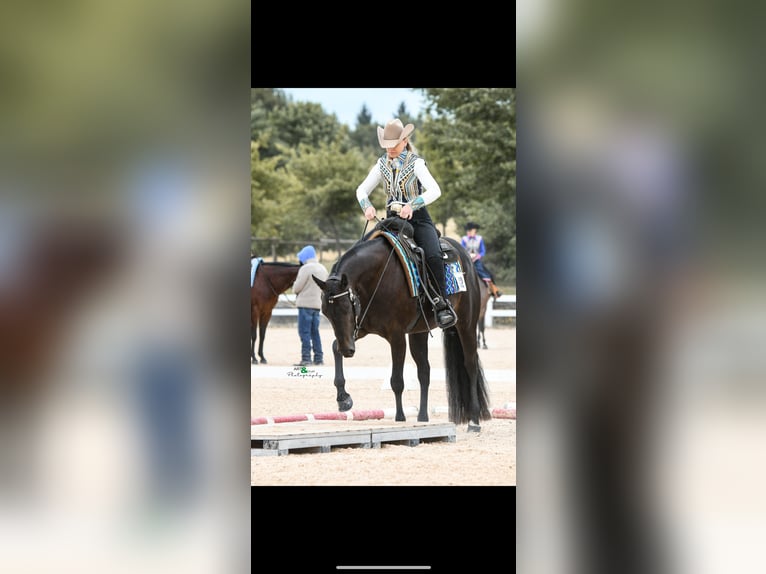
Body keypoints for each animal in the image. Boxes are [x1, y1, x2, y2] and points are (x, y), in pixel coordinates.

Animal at [312, 218, 492, 432]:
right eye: (325, 312)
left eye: (347, 307)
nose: (348, 350)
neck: (376, 276)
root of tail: (466, 258)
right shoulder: (360, 329)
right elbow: (334, 347)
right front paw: (343, 398)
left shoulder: (396, 336)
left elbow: (396, 379)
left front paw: (400, 416)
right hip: (419, 332)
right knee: (424, 371)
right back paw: (422, 416)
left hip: (466, 324)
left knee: (470, 365)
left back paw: (474, 420)